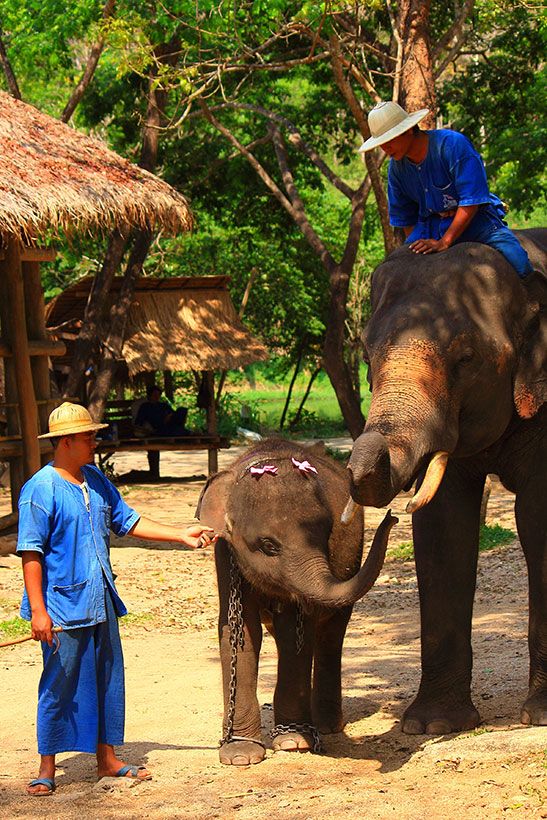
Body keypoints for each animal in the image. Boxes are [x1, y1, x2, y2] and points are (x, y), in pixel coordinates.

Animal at [198, 438, 398, 764]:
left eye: (327, 534)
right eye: (268, 545)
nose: (392, 516)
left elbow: (294, 630)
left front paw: (293, 742)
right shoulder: (225, 553)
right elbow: (238, 630)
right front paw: (240, 755)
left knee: (330, 636)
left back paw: (326, 726)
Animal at [348, 227, 544, 732]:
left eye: (466, 357)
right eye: (366, 354)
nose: (390, 517)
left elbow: (538, 515)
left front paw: (539, 716)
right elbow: (443, 525)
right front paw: (432, 725)